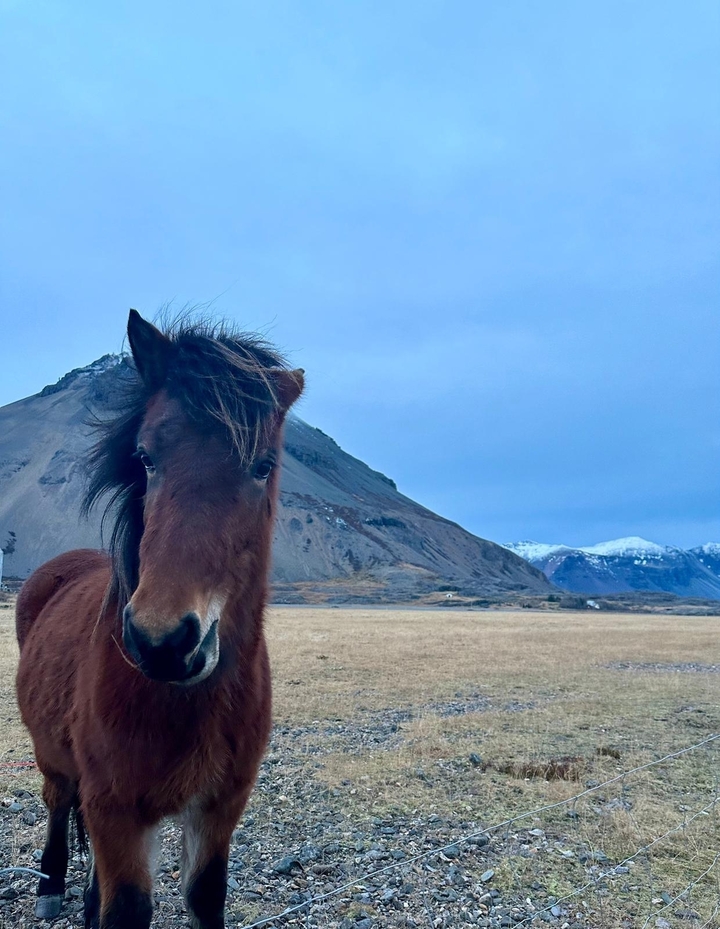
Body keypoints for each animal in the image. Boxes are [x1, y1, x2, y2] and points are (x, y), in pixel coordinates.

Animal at [15, 310, 304, 928]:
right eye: (146, 457)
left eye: (262, 466)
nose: (163, 642)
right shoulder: (115, 809)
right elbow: (126, 909)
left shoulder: (218, 809)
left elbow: (203, 896)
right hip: (52, 759)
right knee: (57, 802)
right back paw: (50, 885)